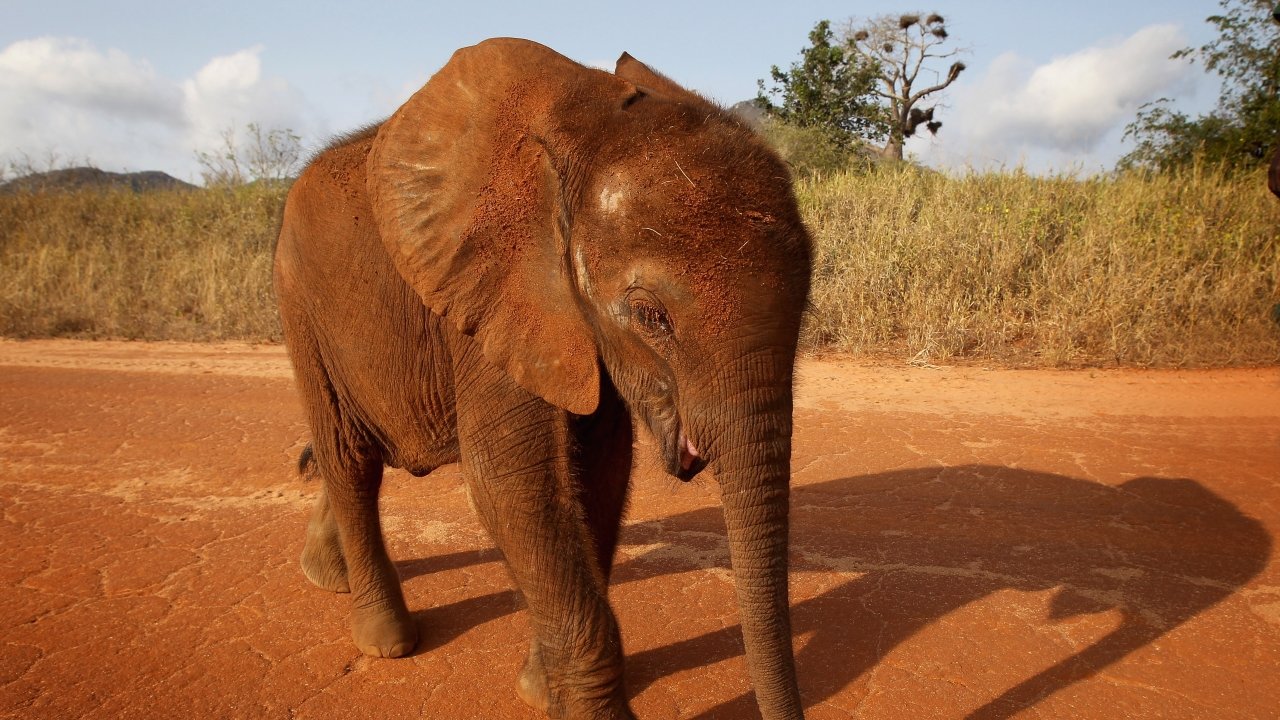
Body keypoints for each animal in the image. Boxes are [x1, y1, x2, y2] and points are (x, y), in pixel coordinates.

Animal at [273, 39, 808, 717]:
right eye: (650, 316)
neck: (586, 127)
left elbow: (598, 473)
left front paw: (539, 690)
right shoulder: (494, 295)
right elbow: (512, 480)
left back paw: (327, 575)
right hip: (301, 305)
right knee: (351, 458)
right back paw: (385, 640)